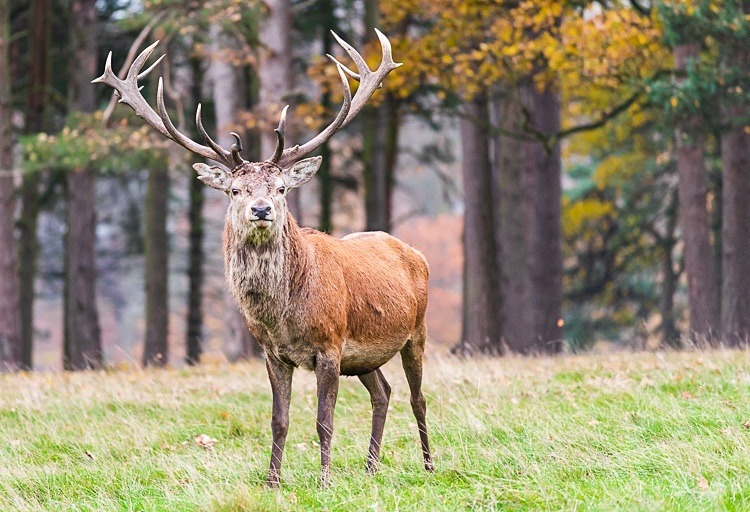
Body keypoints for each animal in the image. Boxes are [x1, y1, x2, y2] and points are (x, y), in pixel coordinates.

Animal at [94, 29, 434, 488]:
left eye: (281, 188)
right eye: (235, 190)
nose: (260, 209)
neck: (283, 315)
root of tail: (414, 253)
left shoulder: (330, 345)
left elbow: (323, 421)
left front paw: (324, 482)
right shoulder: (272, 353)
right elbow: (279, 420)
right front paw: (273, 481)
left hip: (416, 330)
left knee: (418, 398)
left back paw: (429, 465)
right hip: (363, 357)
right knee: (383, 392)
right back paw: (370, 468)